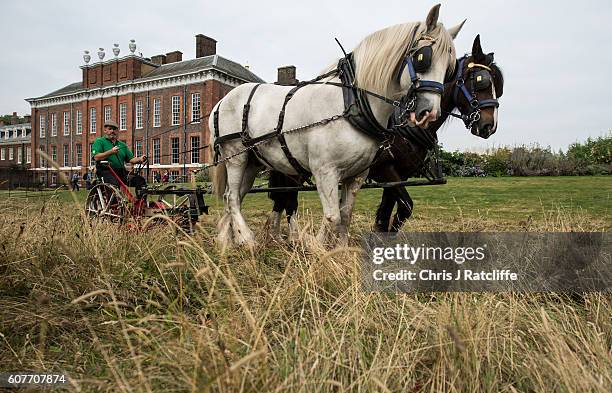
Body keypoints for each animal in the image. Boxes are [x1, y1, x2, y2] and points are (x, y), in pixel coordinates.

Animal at [210, 3, 464, 245]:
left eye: (449, 69)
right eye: (422, 58)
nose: (429, 113)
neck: (350, 105)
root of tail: (221, 101)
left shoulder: (357, 176)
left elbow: (345, 215)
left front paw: (340, 249)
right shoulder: (325, 172)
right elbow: (332, 216)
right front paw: (315, 246)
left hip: (253, 162)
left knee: (235, 196)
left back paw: (226, 239)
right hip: (235, 156)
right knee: (234, 197)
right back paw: (245, 238)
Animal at [266, 34, 502, 233]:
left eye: (498, 86)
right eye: (480, 80)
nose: (489, 126)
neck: (403, 126)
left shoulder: (400, 176)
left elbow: (387, 210)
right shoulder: (386, 170)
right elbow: (405, 206)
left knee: (281, 201)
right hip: (292, 170)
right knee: (288, 201)